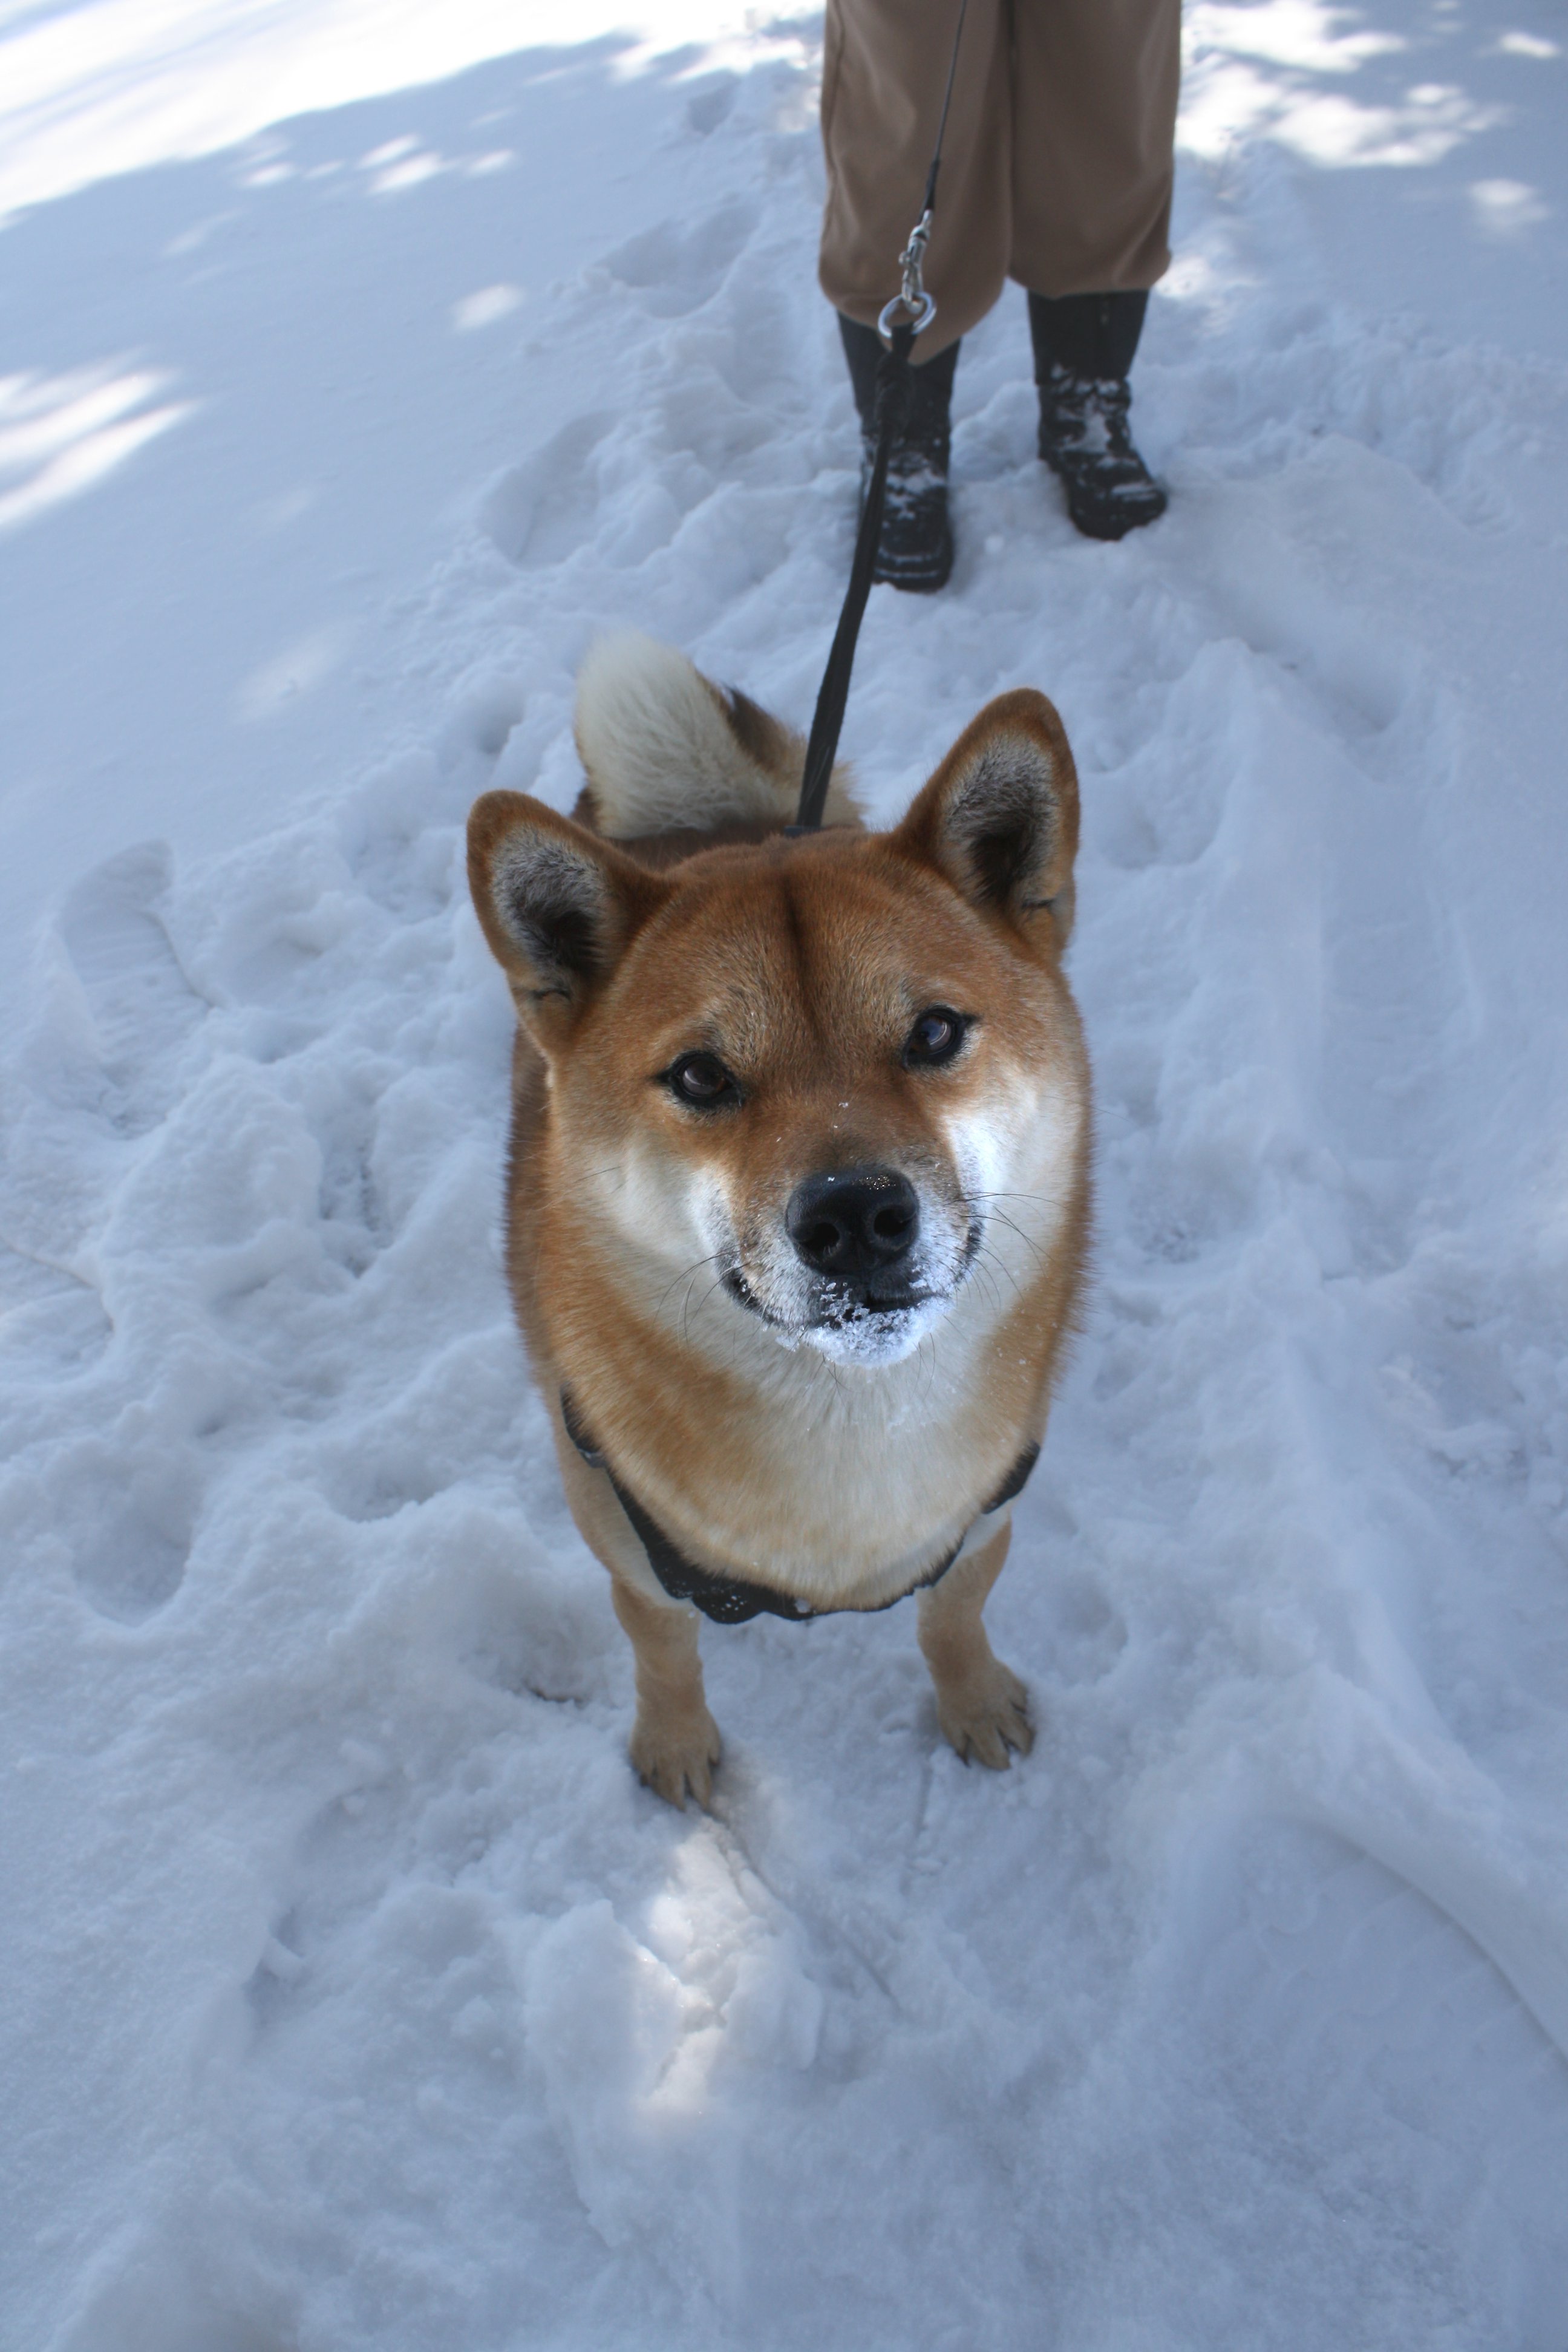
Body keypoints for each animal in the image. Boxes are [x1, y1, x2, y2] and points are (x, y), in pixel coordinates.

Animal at [465, 635, 1091, 1806]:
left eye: (934, 1032)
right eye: (702, 1075)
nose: (856, 1216)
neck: (854, 1433)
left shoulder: (982, 1520)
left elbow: (952, 1618)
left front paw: (974, 1702)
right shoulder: (630, 1555)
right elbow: (663, 1654)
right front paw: (673, 1746)